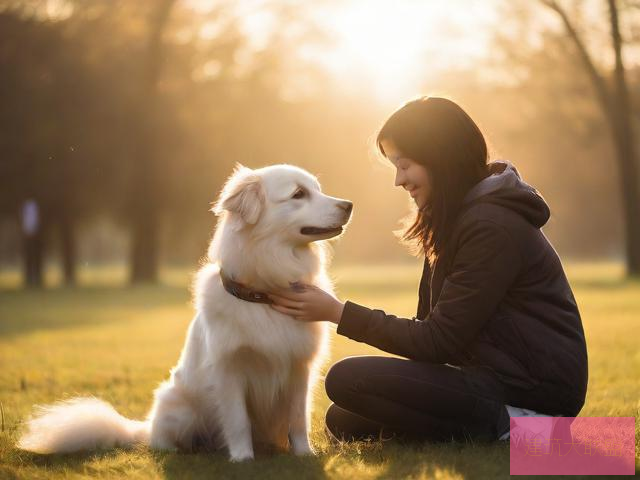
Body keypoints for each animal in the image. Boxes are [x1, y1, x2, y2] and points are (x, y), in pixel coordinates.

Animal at [17, 165, 352, 462]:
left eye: (317, 189)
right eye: (298, 194)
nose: (349, 205)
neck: (264, 293)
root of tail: (146, 427)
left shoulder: (299, 368)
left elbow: (298, 420)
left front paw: (304, 455)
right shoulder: (230, 370)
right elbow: (238, 421)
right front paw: (243, 459)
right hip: (178, 407)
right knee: (161, 441)